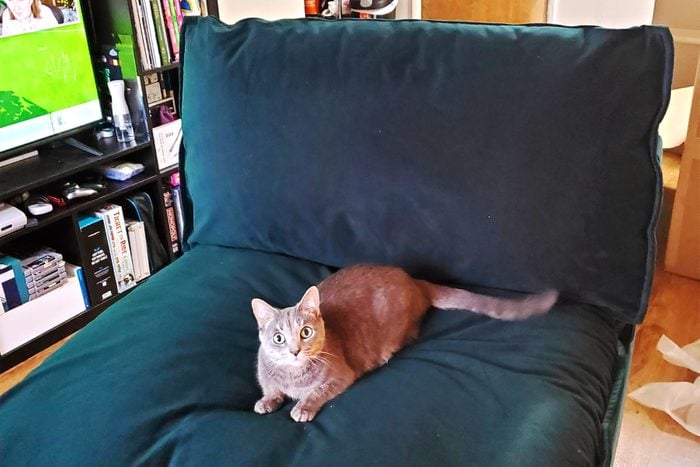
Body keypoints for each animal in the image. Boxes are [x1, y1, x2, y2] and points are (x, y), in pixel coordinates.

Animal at [252, 266, 556, 422]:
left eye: (305, 332)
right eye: (278, 338)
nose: (295, 351)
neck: (293, 377)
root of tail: (414, 280)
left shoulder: (341, 375)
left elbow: (318, 392)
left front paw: (302, 408)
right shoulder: (266, 375)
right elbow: (270, 388)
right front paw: (266, 401)